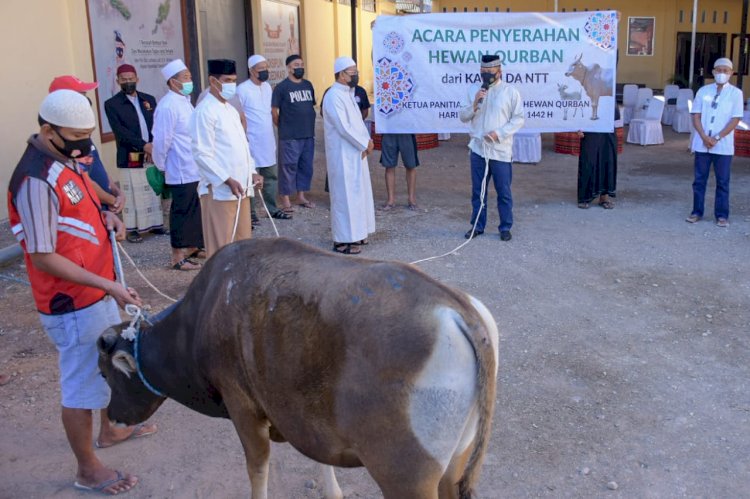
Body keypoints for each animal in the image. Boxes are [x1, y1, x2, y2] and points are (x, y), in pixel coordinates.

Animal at [98, 239, 500, 499]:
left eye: (104, 374)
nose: (114, 417)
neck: (204, 313)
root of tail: (458, 311)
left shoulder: (243, 408)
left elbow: (257, 469)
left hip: (406, 479)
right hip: (453, 467)